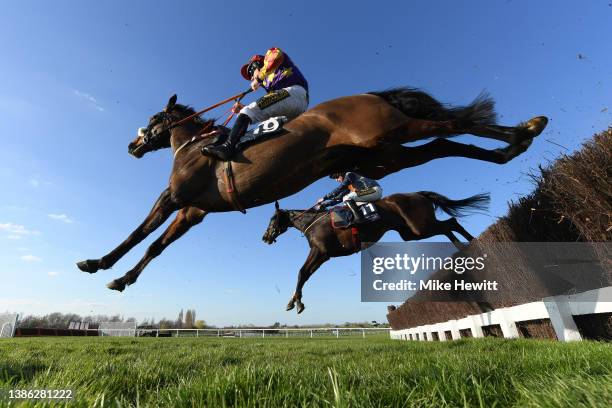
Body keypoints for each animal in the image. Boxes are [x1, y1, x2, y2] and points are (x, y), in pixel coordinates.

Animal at [74, 87, 548, 290]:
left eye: (153, 120)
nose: (133, 145)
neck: (195, 145)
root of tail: (372, 95)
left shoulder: (175, 196)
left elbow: (138, 232)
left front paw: (99, 263)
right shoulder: (194, 211)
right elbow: (156, 245)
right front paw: (119, 277)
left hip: (392, 134)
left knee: (452, 124)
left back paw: (525, 129)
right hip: (387, 155)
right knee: (446, 144)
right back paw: (510, 149)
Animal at [260, 191, 490, 312]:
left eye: (272, 219)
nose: (265, 237)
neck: (313, 222)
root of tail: (418, 194)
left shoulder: (321, 253)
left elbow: (301, 273)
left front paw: (296, 302)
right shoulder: (321, 254)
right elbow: (304, 274)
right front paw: (294, 301)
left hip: (419, 227)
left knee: (450, 223)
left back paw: (471, 243)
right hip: (411, 233)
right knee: (448, 226)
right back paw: (463, 248)